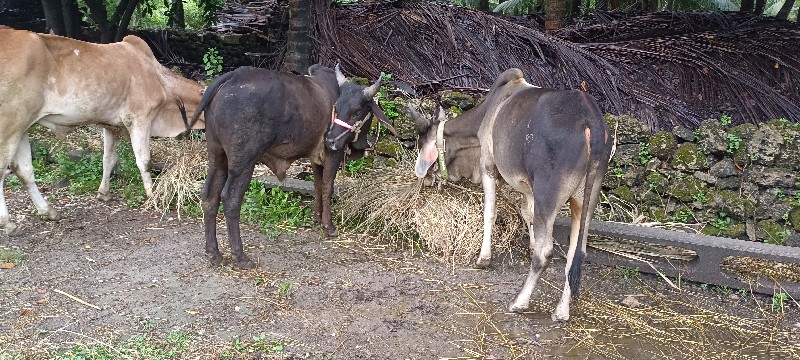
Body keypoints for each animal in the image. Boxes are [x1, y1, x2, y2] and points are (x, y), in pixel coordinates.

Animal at [0, 28, 205, 236]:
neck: (161, 82)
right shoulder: (139, 119)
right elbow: (144, 162)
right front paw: (153, 195)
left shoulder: (111, 125)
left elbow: (108, 159)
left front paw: (103, 193)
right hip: (10, 125)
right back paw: (8, 223)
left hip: (23, 127)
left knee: (24, 170)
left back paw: (48, 211)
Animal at [412, 67, 612, 320]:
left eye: (422, 145)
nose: (425, 179)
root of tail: (590, 120)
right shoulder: (528, 184)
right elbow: (528, 213)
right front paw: (530, 244)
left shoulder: (487, 165)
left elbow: (490, 212)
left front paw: (483, 259)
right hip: (587, 196)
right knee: (578, 252)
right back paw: (561, 311)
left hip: (548, 191)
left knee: (545, 253)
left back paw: (519, 302)